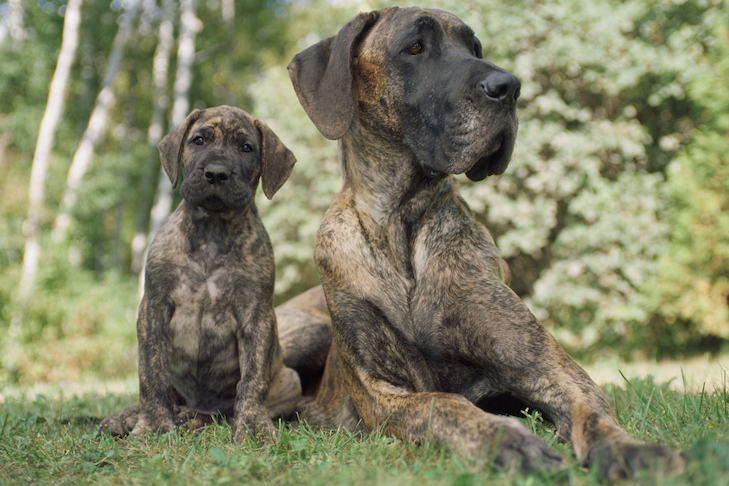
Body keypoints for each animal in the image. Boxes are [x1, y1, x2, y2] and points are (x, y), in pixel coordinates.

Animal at [99, 106, 298, 440]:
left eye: (247, 148)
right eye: (199, 140)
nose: (216, 173)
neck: (211, 232)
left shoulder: (257, 314)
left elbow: (254, 378)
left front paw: (254, 426)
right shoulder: (154, 307)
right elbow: (151, 373)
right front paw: (153, 424)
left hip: (290, 379)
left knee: (218, 413)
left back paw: (193, 418)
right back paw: (128, 417)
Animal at [280, 6, 684, 478]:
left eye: (475, 48)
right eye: (414, 47)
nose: (509, 87)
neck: (402, 226)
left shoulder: (550, 369)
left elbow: (593, 414)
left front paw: (631, 451)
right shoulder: (381, 392)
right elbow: (442, 404)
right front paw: (506, 441)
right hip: (306, 332)